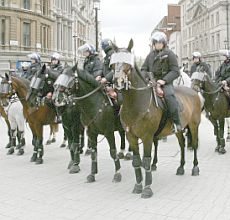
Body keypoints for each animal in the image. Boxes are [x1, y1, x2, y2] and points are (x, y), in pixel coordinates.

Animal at [111, 40, 201, 199]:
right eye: (113, 63)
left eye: (128, 64)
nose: (118, 81)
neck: (135, 104)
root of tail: (193, 92)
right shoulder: (130, 136)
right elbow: (136, 161)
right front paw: (138, 185)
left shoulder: (147, 137)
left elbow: (146, 161)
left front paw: (147, 188)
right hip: (179, 130)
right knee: (182, 145)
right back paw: (181, 167)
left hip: (194, 125)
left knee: (194, 144)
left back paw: (195, 168)